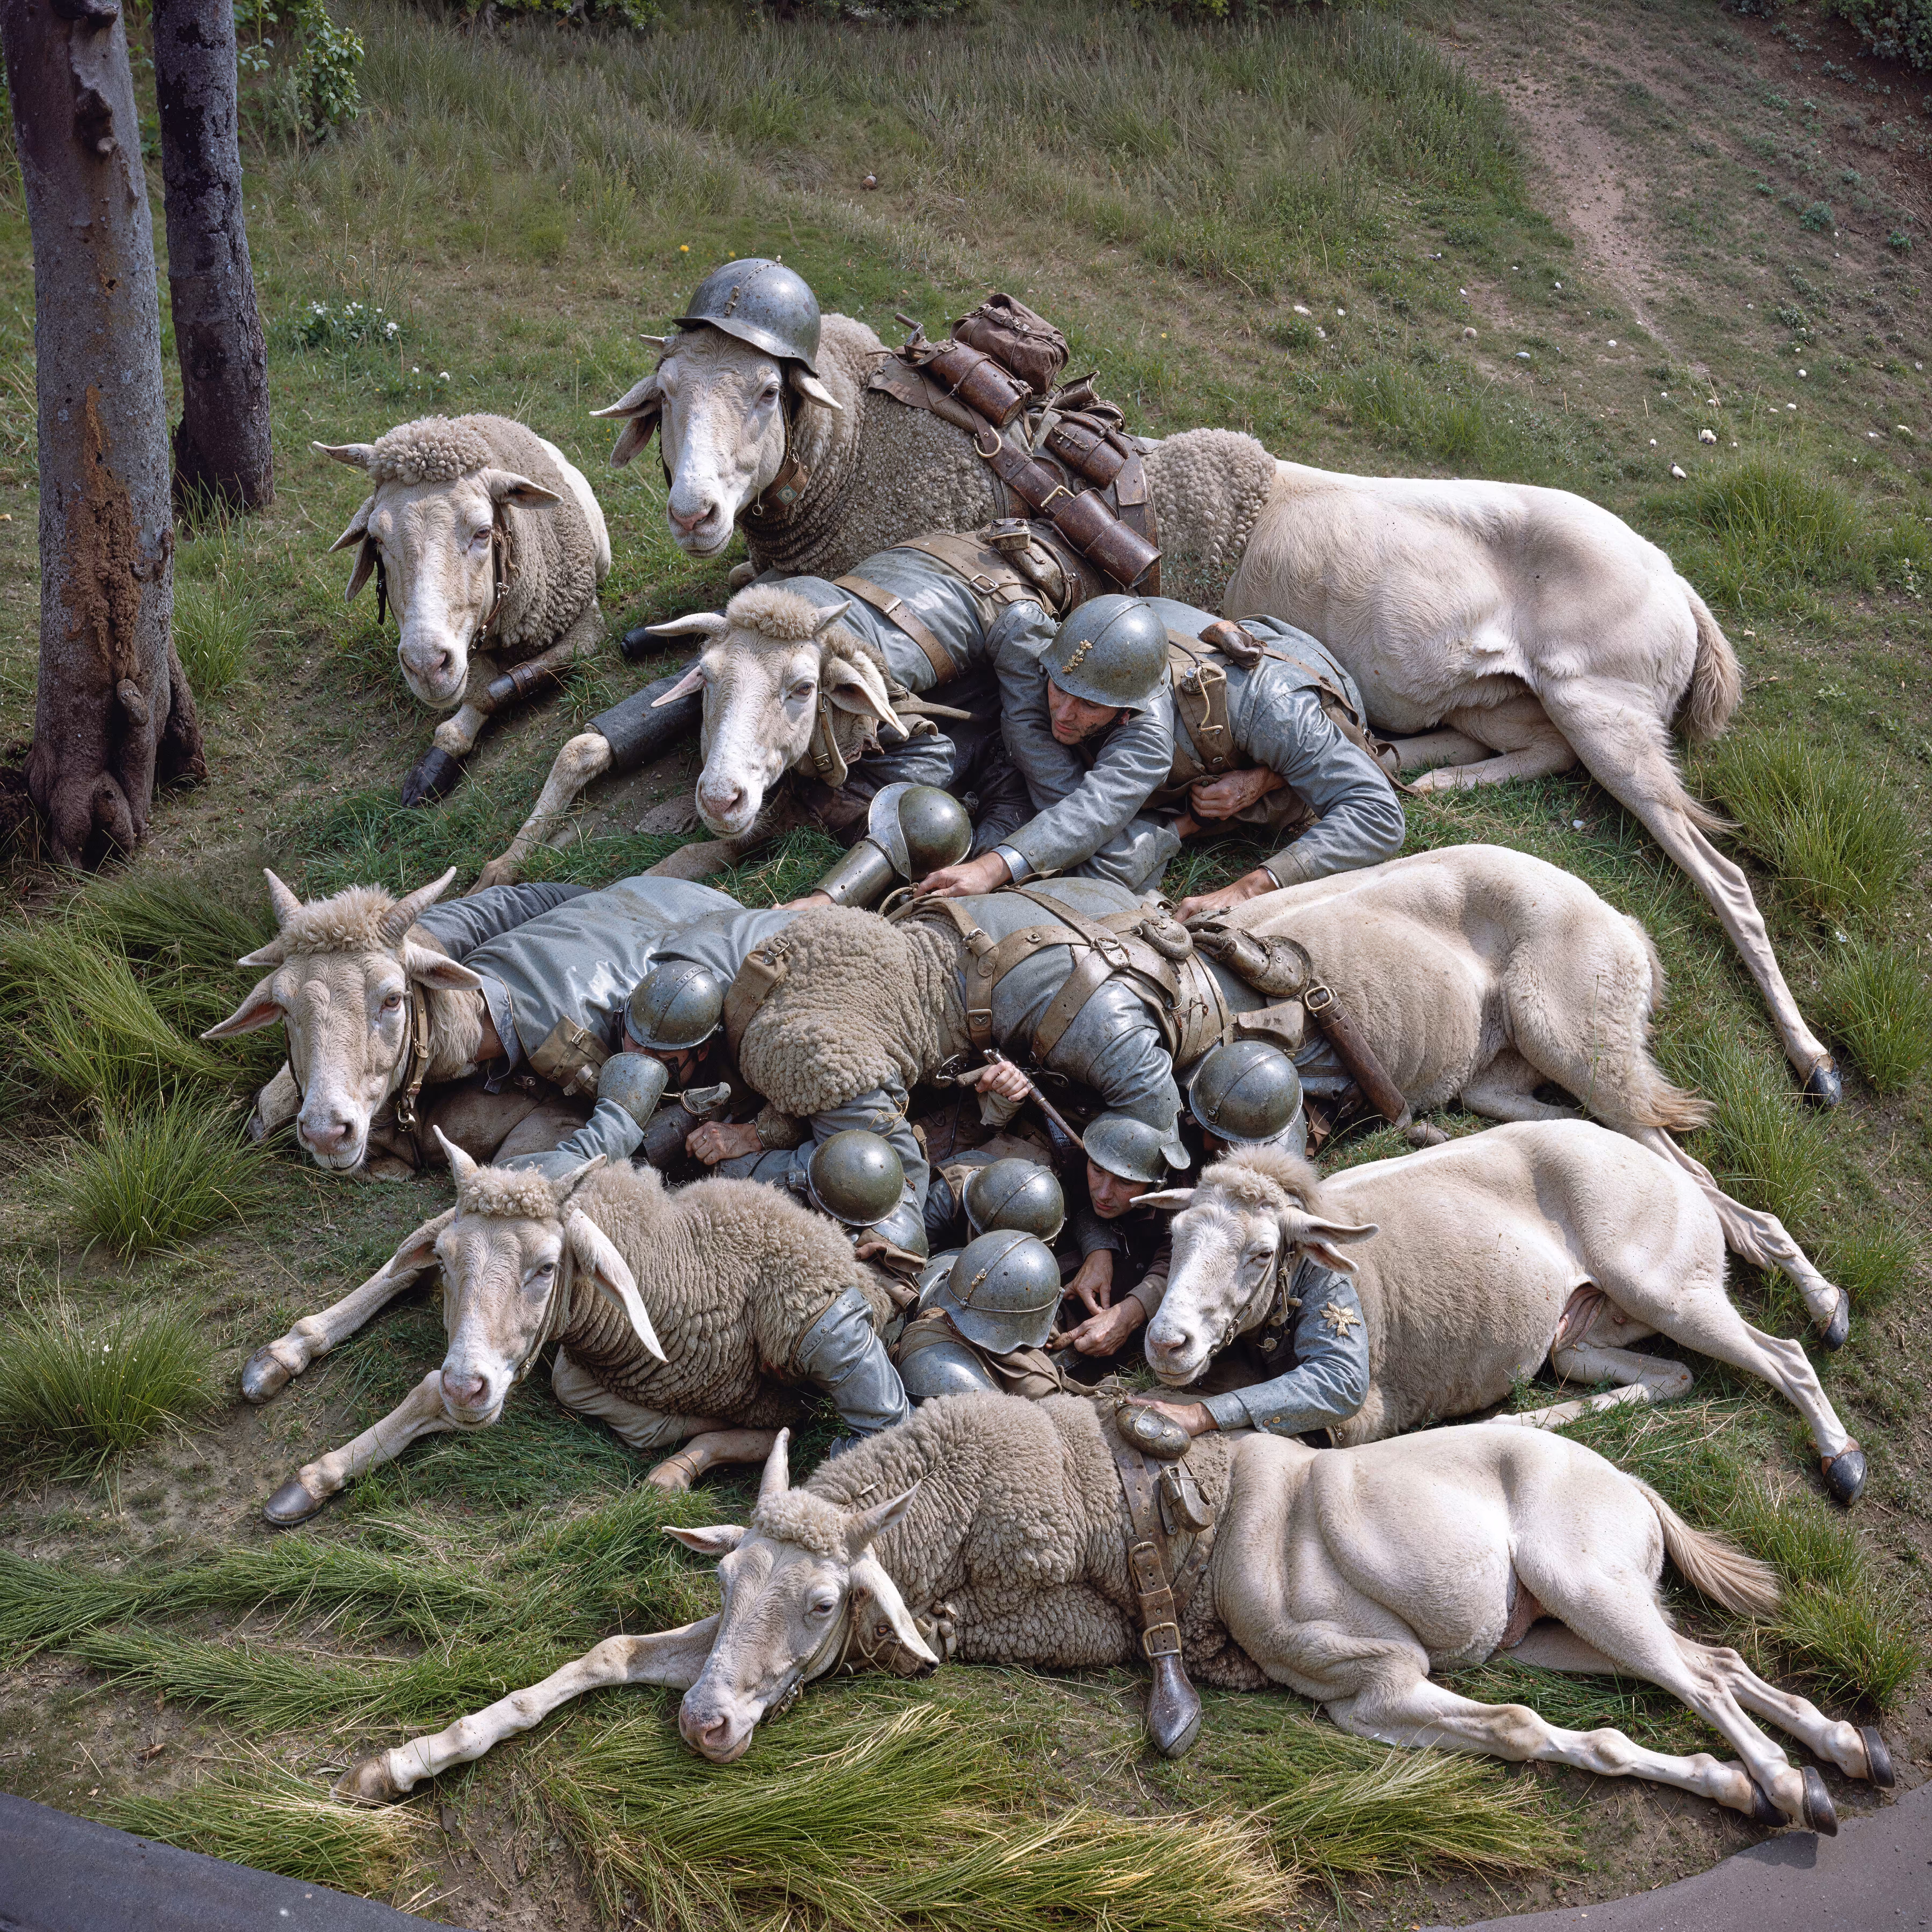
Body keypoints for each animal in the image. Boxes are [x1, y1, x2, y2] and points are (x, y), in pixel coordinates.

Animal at [245, 1134, 897, 1524]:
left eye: (547, 1268)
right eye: (450, 1263)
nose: (467, 1386)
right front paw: (320, 1475)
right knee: (404, 1258)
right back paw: (288, 1350)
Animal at [319, 414, 611, 800]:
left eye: (484, 532)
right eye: (377, 540)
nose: (427, 666)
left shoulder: (588, 624)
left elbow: (495, 690)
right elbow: (476, 692)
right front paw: (435, 763)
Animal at [337, 1399, 1894, 1839]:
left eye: (829, 1596)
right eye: (730, 1587)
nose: (709, 1731)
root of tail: (1634, 1486)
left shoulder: (1374, 1680)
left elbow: (1523, 1735)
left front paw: (1734, 1793)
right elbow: (604, 1652)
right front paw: (409, 1760)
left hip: (1583, 1591)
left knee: (1690, 1680)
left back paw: (1783, 1775)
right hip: (1568, 1614)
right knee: (1716, 1653)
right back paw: (1840, 1748)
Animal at [604, 300, 1836, 1099]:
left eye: (764, 389)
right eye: (666, 396)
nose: (693, 512)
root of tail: (1679, 582)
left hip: (1610, 707)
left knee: (1716, 872)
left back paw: (1811, 1057)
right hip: (1524, 703)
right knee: (1531, 753)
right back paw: (1437, 771)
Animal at [1133, 1124, 1866, 1504]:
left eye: (1261, 1253)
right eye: (1176, 1236)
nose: (1166, 1342)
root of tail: (1681, 1182)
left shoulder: (1357, 1401)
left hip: (1665, 1284)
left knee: (1786, 1358)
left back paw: (1842, 1454)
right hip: (1585, 1332)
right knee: (1672, 1376)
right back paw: (1521, 1421)